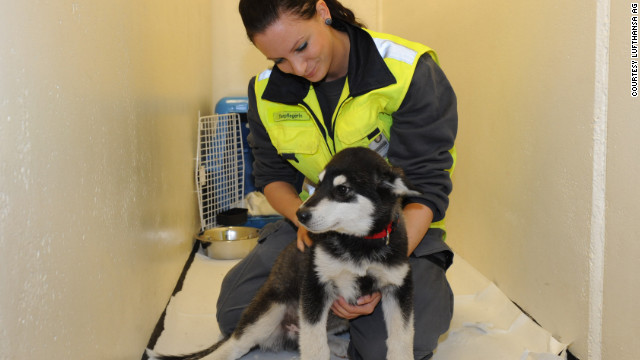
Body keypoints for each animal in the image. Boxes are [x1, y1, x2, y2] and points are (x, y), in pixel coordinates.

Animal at [150, 147, 420, 360]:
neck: (359, 243)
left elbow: (402, 340)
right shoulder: (315, 286)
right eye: (318, 184)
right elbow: (314, 348)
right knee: (234, 347)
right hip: (270, 309)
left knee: (302, 339)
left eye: (343, 189)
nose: (301, 215)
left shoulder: (399, 288)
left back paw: (338, 344)